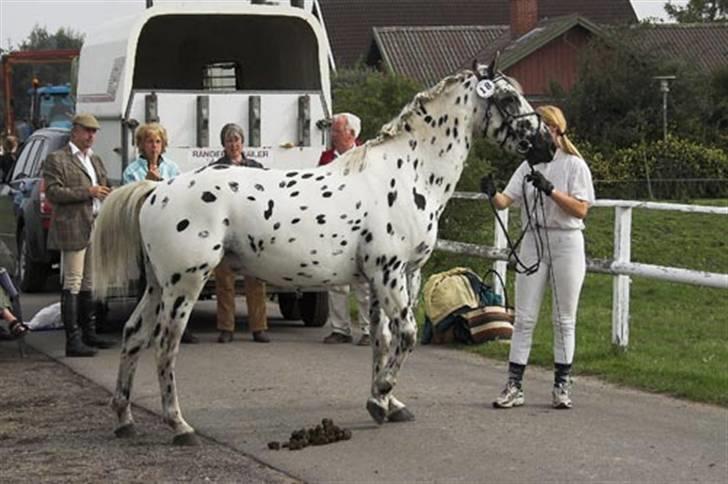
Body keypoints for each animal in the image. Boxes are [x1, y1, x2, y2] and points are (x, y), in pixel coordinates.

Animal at [94, 58, 556, 444]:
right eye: (508, 98)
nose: (548, 145)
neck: (409, 172)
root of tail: (156, 190)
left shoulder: (387, 278)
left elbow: (382, 341)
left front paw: (387, 405)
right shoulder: (390, 274)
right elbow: (406, 335)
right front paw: (381, 395)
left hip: (158, 286)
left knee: (133, 336)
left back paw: (124, 419)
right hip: (184, 285)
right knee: (165, 346)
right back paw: (180, 426)